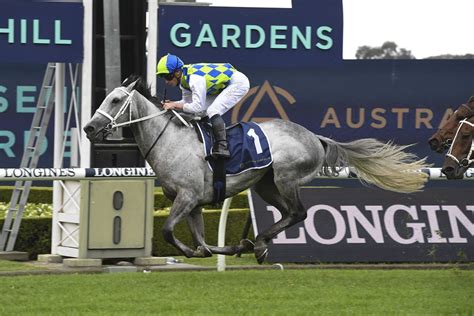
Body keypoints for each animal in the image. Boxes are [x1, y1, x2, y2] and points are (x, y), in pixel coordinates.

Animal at [83, 75, 432, 262]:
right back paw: (257, 243)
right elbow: (201, 240)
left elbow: (169, 231)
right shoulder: (192, 203)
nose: (89, 128)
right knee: (287, 213)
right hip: (265, 184)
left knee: (299, 212)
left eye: (116, 100)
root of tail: (314, 136)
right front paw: (221, 248)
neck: (171, 139)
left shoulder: (187, 196)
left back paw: (258, 242)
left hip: (287, 177)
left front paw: (206, 251)